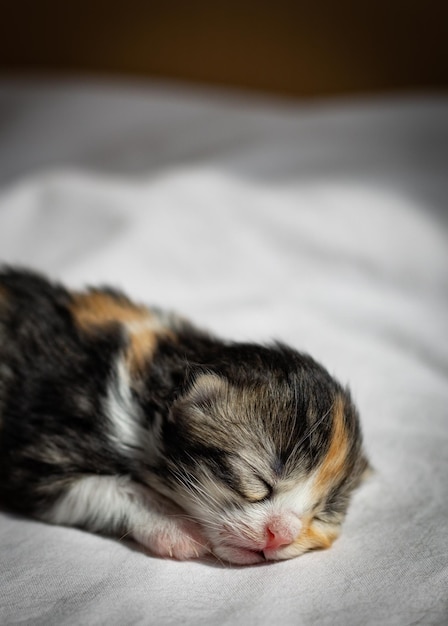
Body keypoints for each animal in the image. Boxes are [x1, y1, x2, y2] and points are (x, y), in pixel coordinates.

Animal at [0, 266, 370, 564]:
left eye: (322, 514)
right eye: (260, 482)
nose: (281, 534)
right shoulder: (37, 453)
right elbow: (102, 488)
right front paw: (175, 525)